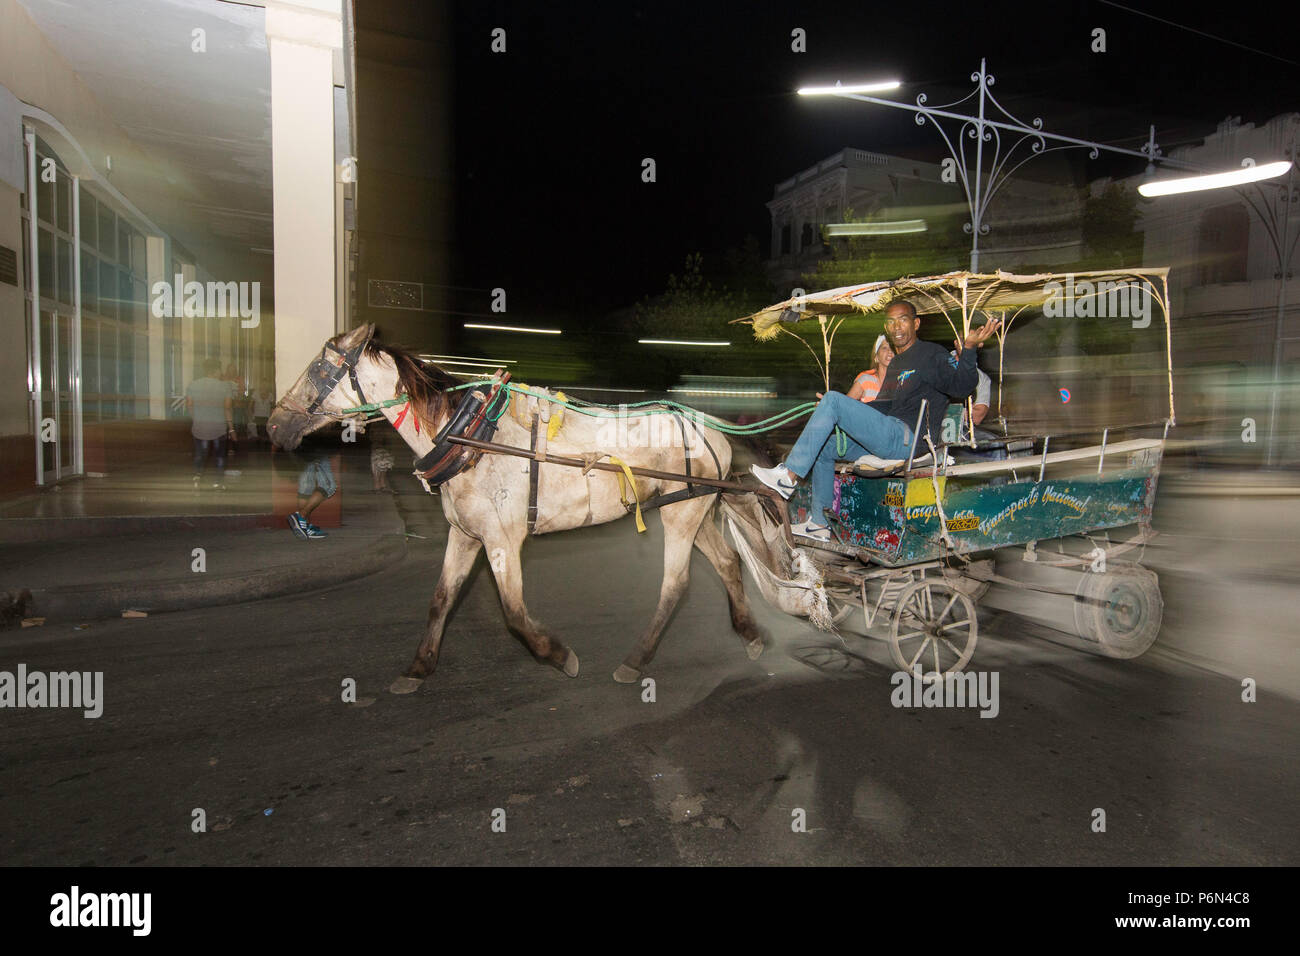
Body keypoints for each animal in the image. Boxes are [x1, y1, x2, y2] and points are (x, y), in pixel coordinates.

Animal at [267, 325, 764, 691]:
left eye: (317, 369)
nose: (274, 425)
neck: (468, 436)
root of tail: (712, 429)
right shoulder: (466, 534)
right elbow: (441, 598)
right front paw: (419, 667)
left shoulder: (501, 539)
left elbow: (514, 614)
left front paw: (560, 655)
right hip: (690, 507)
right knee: (727, 562)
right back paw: (751, 636)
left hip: (681, 515)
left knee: (675, 584)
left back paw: (636, 659)